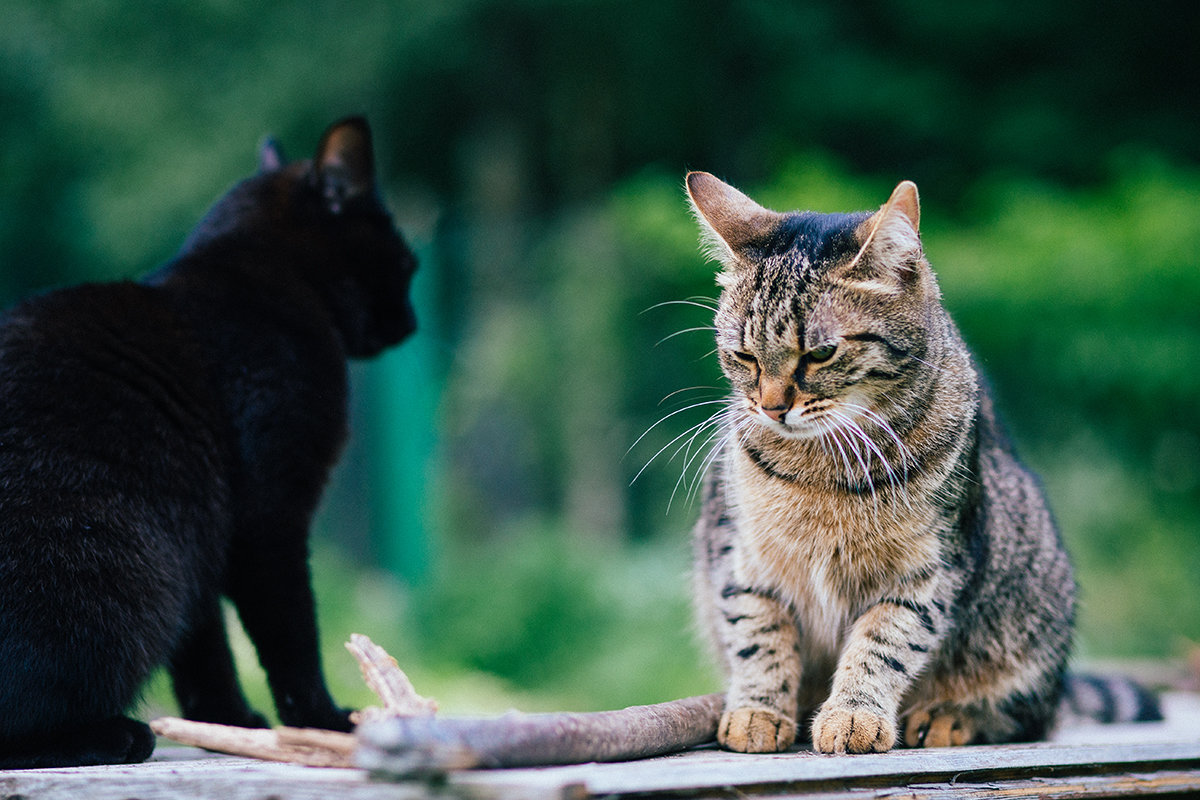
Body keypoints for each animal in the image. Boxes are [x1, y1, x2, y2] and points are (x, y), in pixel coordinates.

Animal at [0, 115, 417, 767]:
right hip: (130, 571)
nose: (412, 322)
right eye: (407, 265)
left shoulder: (197, 529)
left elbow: (204, 650)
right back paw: (113, 734)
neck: (256, 270)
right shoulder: (268, 519)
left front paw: (227, 723)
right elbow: (291, 637)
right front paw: (322, 721)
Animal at [686, 172, 1142, 753]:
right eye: (744, 356)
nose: (770, 407)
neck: (820, 464)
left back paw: (951, 716)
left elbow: (883, 644)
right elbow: (757, 635)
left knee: (1028, 714)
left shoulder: (927, 570)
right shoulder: (740, 553)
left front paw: (853, 715)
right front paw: (758, 710)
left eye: (820, 353)